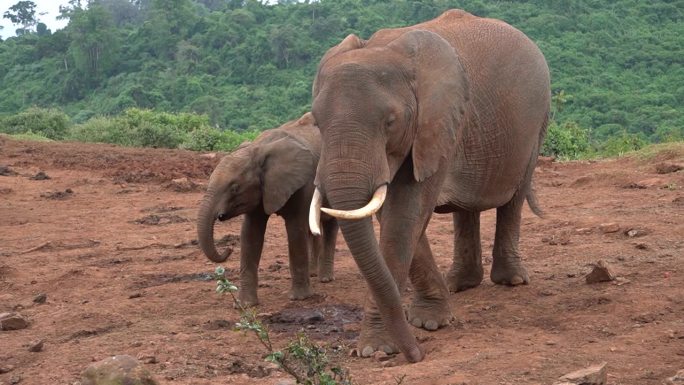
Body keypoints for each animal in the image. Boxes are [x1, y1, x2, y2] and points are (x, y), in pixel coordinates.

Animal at [196, 112, 338, 306]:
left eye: (235, 188)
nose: (229, 250)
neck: (259, 149)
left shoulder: (303, 183)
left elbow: (296, 230)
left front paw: (300, 298)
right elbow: (250, 234)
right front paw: (245, 305)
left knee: (331, 224)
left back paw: (325, 279)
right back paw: (313, 274)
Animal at [308, 10, 552, 362]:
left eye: (390, 123)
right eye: (316, 123)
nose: (416, 355)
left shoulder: (436, 124)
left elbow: (404, 215)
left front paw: (378, 347)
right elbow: (396, 217)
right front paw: (426, 323)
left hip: (534, 123)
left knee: (513, 198)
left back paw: (511, 280)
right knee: (467, 208)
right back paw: (461, 284)